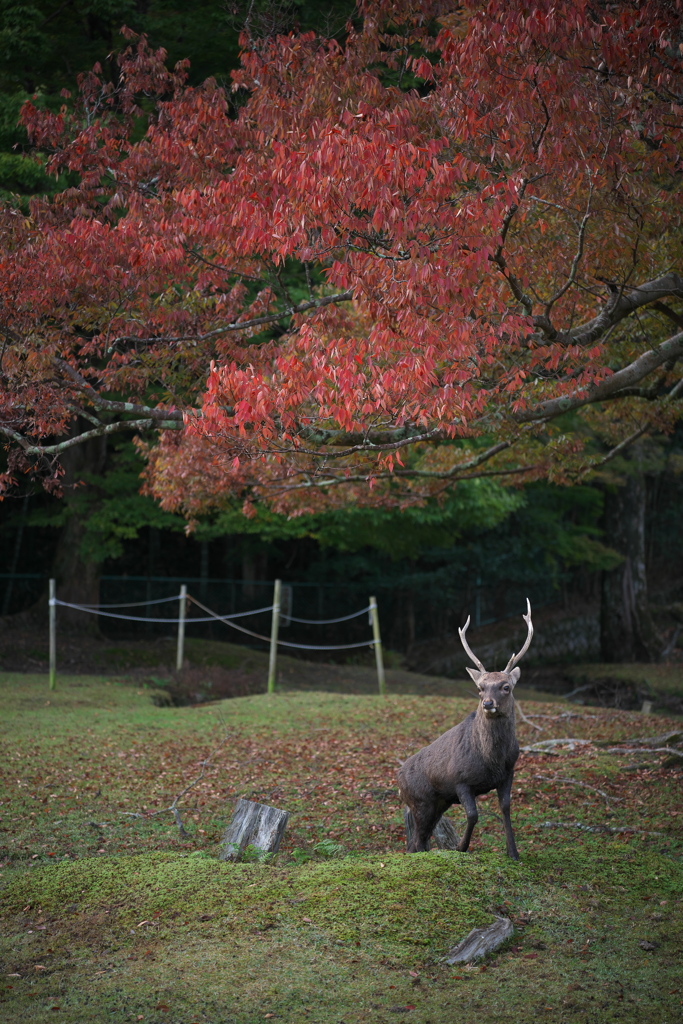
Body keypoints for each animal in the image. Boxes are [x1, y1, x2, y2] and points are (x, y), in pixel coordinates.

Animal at [401, 598, 532, 860]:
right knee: (416, 842)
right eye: (480, 688)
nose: (487, 703)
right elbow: (473, 814)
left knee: (418, 841)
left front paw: (513, 853)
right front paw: (461, 848)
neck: (492, 760)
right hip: (420, 801)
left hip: (439, 803)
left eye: (506, 687)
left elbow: (506, 808)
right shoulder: (460, 779)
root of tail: (397, 780)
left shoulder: (509, 772)